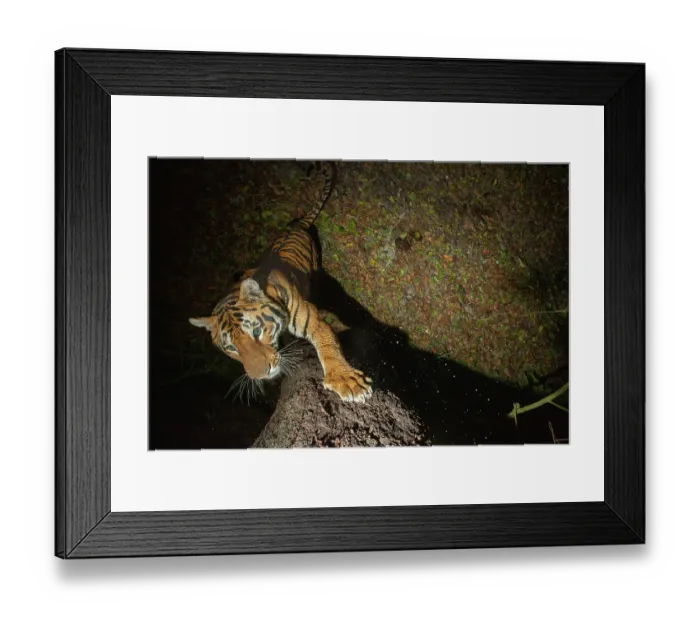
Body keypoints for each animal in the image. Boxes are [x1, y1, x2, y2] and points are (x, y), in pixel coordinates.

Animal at [189, 161, 373, 403]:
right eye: (230, 347)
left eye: (256, 332)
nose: (261, 375)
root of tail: (297, 225)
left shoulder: (313, 321)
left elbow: (328, 345)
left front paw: (346, 380)